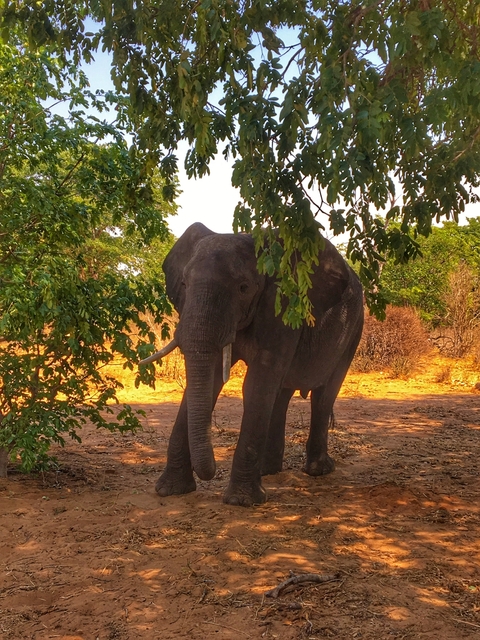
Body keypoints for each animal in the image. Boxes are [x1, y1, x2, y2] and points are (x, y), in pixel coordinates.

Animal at [142, 222, 364, 506]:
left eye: (244, 288)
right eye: (183, 283)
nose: (211, 472)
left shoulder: (282, 305)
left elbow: (257, 383)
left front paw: (241, 502)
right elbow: (213, 381)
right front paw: (170, 490)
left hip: (354, 328)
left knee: (324, 394)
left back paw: (318, 470)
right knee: (281, 393)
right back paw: (269, 471)